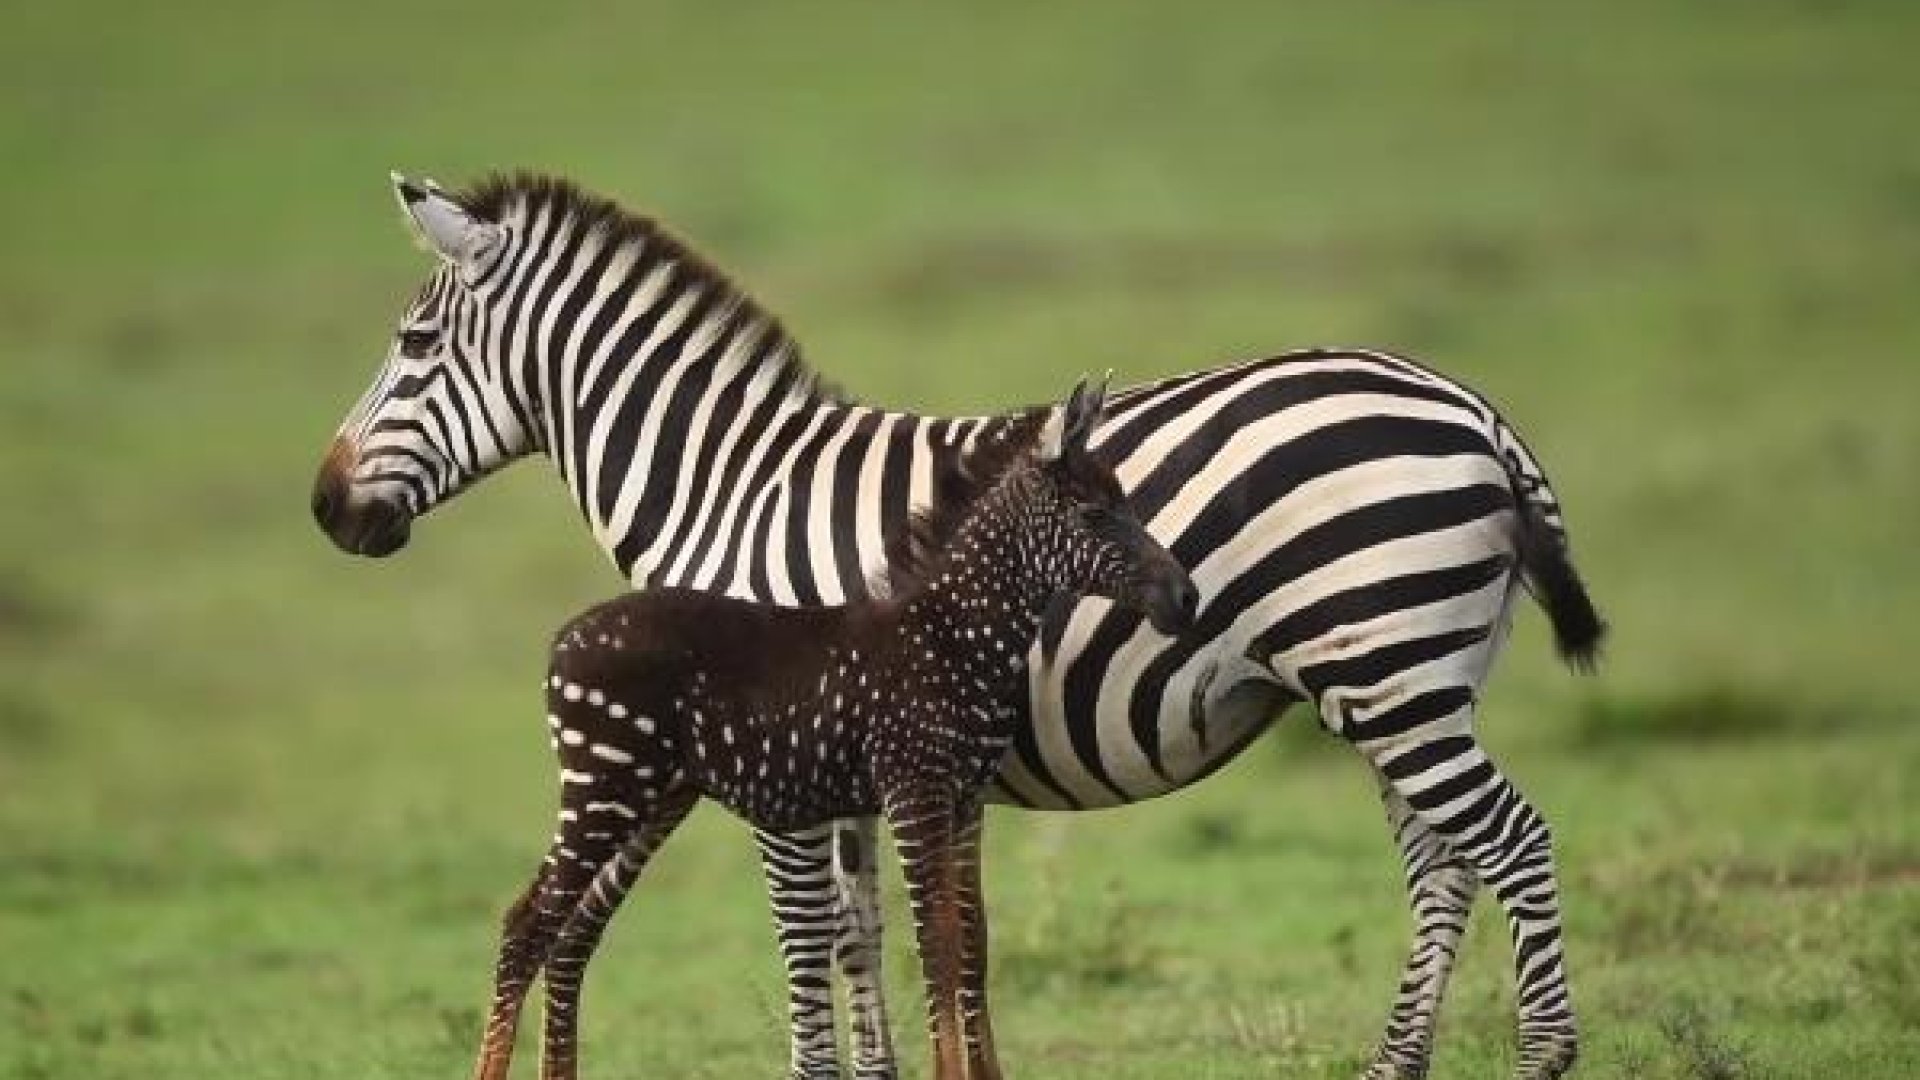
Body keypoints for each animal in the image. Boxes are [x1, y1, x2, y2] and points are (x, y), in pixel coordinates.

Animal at [470, 378, 1190, 1076]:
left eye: (1126, 503)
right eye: (1094, 514)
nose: (1185, 598)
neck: (951, 632)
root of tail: (564, 638)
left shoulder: (961, 800)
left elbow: (964, 942)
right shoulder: (914, 791)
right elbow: (936, 943)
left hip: (653, 795)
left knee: (568, 929)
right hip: (605, 785)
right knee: (527, 923)